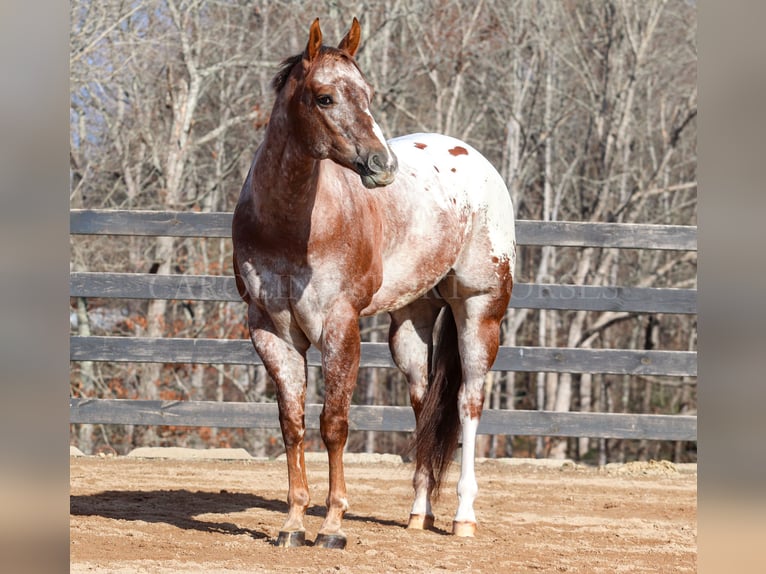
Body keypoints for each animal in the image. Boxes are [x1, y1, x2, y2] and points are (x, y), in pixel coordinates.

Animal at [230, 15, 516, 552]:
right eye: (324, 97)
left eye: (367, 93)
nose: (383, 166)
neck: (290, 224)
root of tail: (473, 158)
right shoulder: (271, 331)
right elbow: (292, 424)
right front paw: (293, 523)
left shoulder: (340, 326)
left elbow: (334, 424)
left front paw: (332, 526)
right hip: (410, 324)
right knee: (425, 406)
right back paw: (418, 513)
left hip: (480, 310)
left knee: (468, 402)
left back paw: (463, 517)